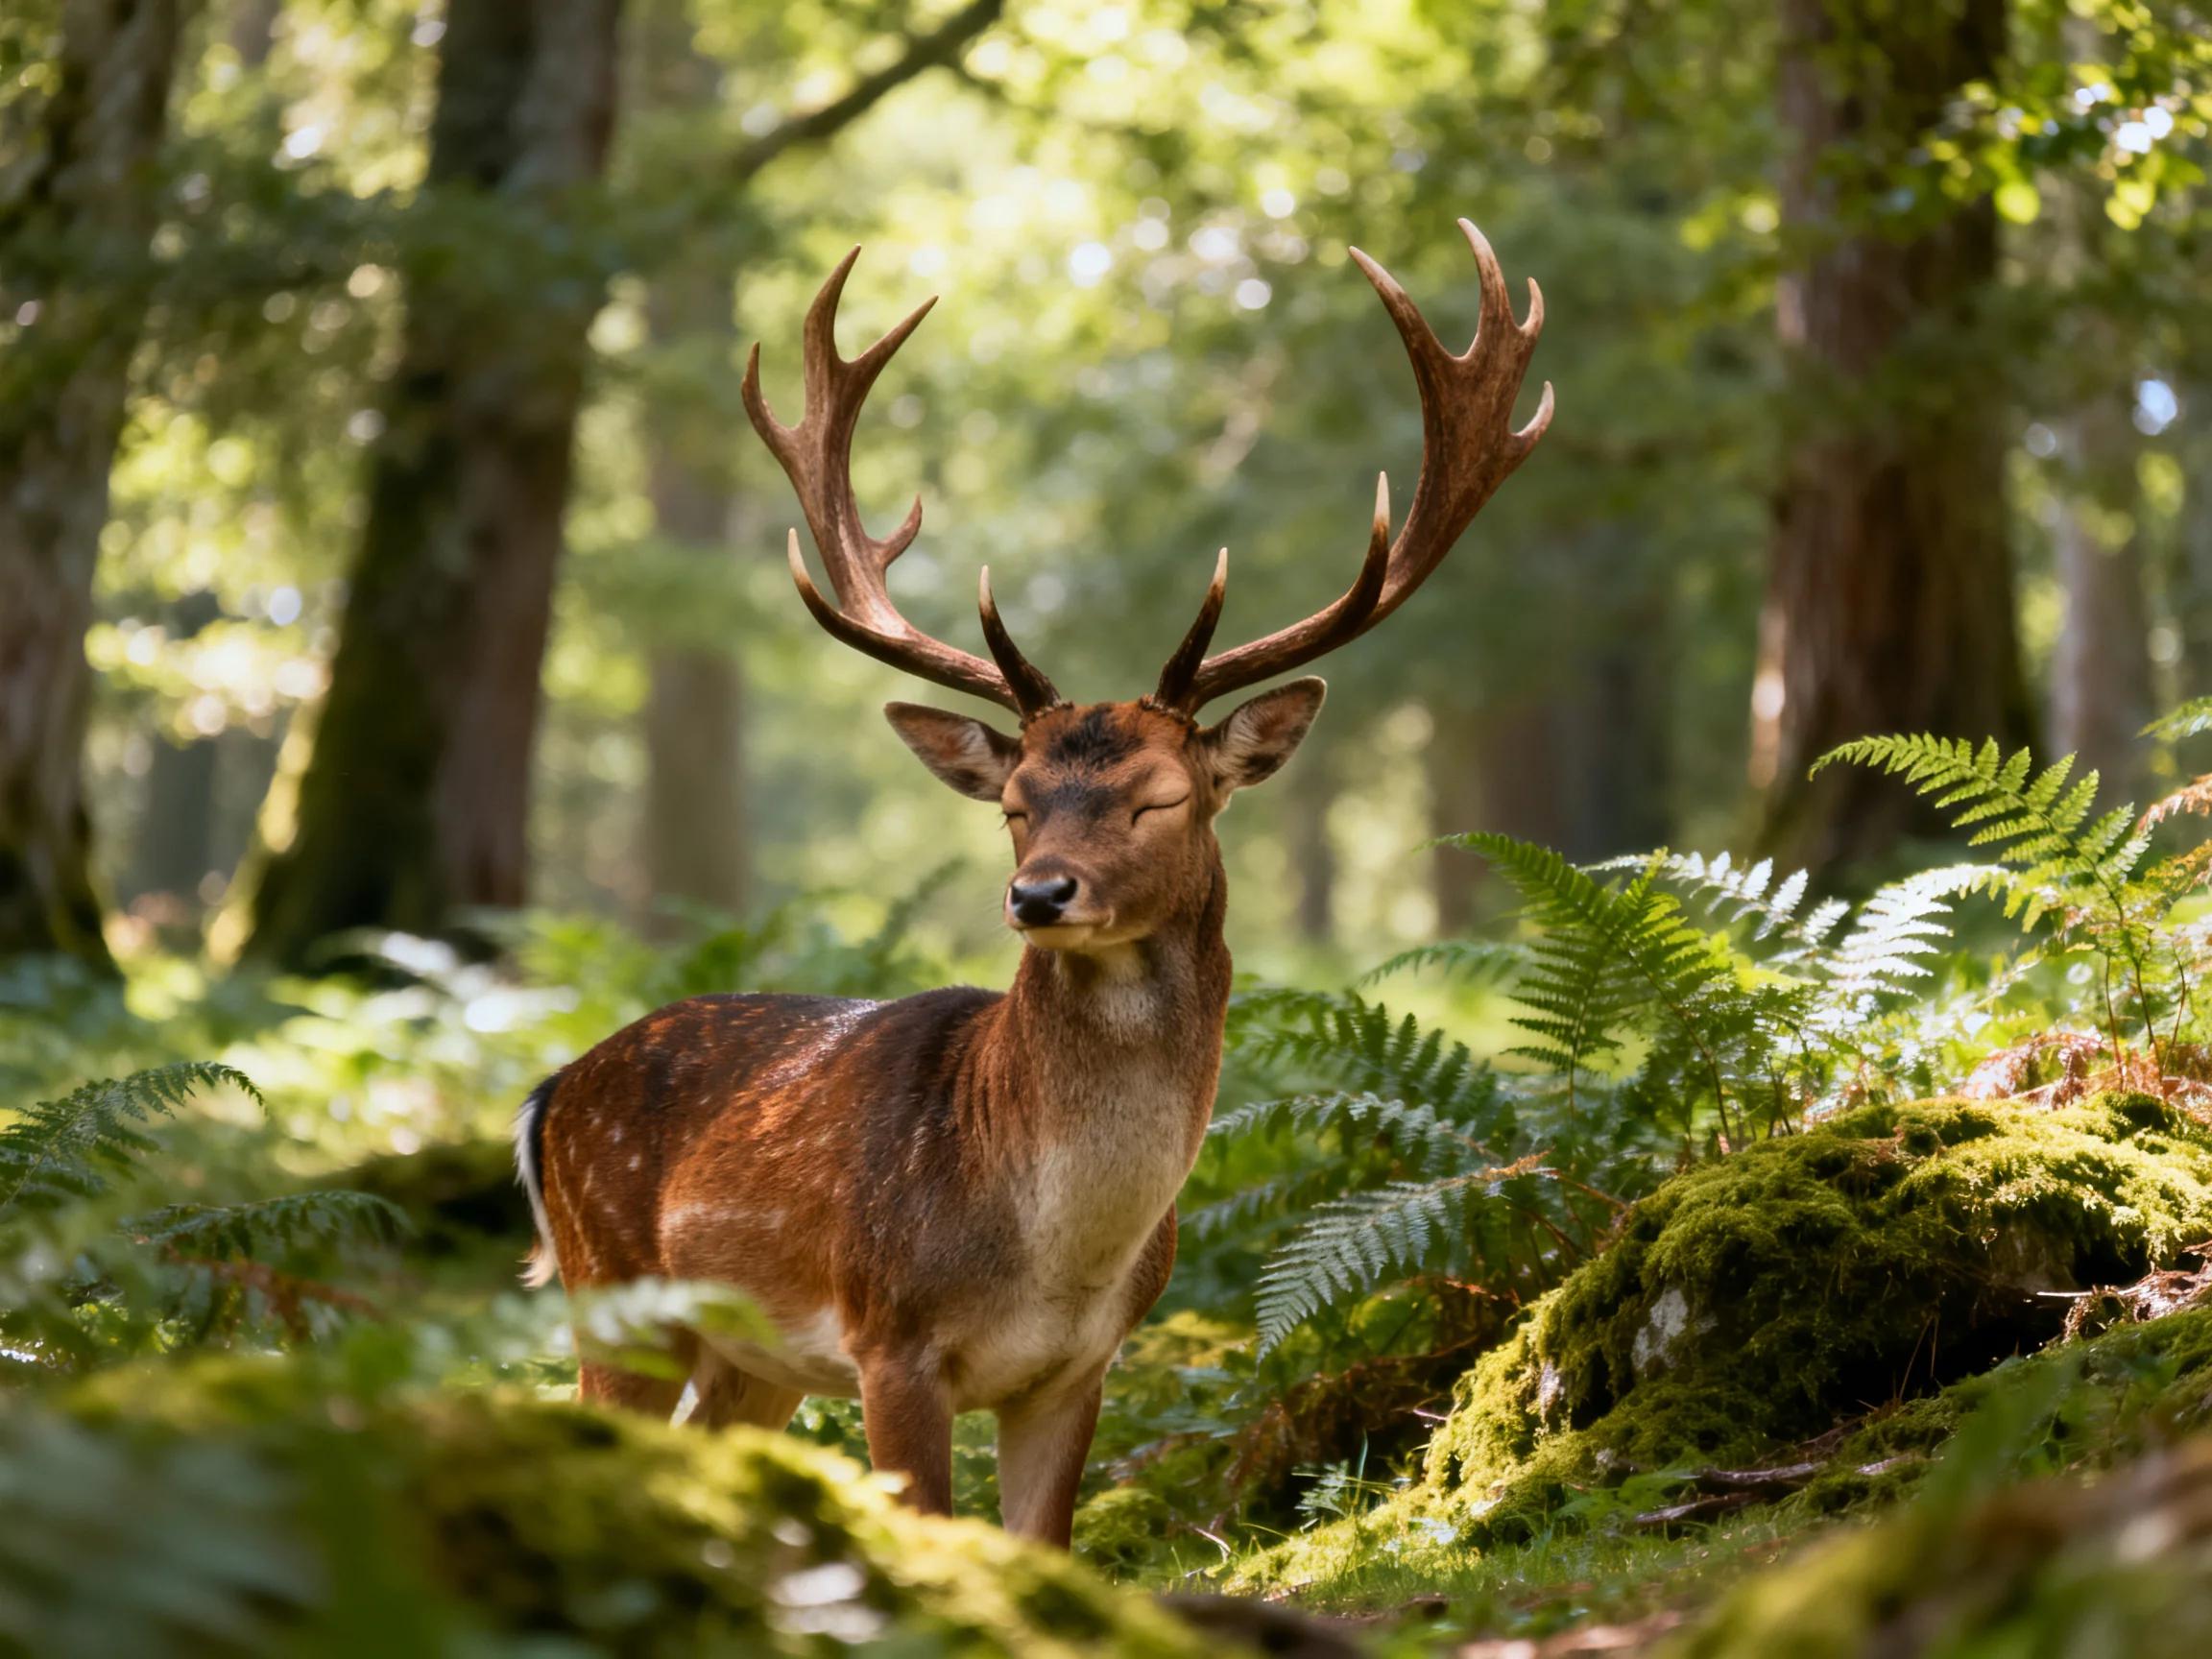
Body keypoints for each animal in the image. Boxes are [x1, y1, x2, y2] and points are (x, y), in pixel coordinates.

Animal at [513, 219, 1550, 1545]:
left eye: (1159, 798)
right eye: (1014, 805)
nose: (1039, 896)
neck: (1055, 1257)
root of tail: (548, 1094)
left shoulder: (1078, 1369)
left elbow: (1044, 1545)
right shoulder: (889, 1339)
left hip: (746, 1359)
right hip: (614, 1294)